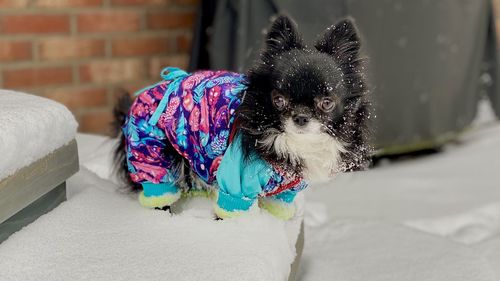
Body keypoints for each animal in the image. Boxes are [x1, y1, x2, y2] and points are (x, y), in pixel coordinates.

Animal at [113, 14, 372, 219]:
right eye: (279, 100)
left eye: (326, 103)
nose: (300, 117)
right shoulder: (236, 185)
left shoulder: (284, 194)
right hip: (151, 151)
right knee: (158, 189)